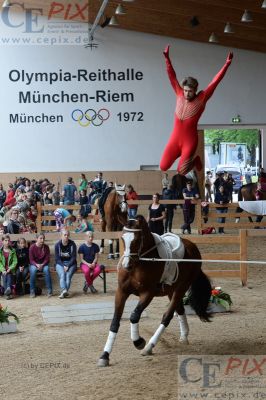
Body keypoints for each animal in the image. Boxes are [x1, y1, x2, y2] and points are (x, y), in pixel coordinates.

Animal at [97, 214, 212, 368]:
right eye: (122, 238)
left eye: (137, 239)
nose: (126, 265)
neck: (139, 263)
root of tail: (193, 247)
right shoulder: (121, 291)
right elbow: (115, 322)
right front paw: (105, 356)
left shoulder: (147, 293)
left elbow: (134, 316)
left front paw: (139, 342)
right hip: (171, 291)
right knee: (180, 310)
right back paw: (184, 336)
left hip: (181, 288)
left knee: (167, 316)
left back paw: (149, 347)